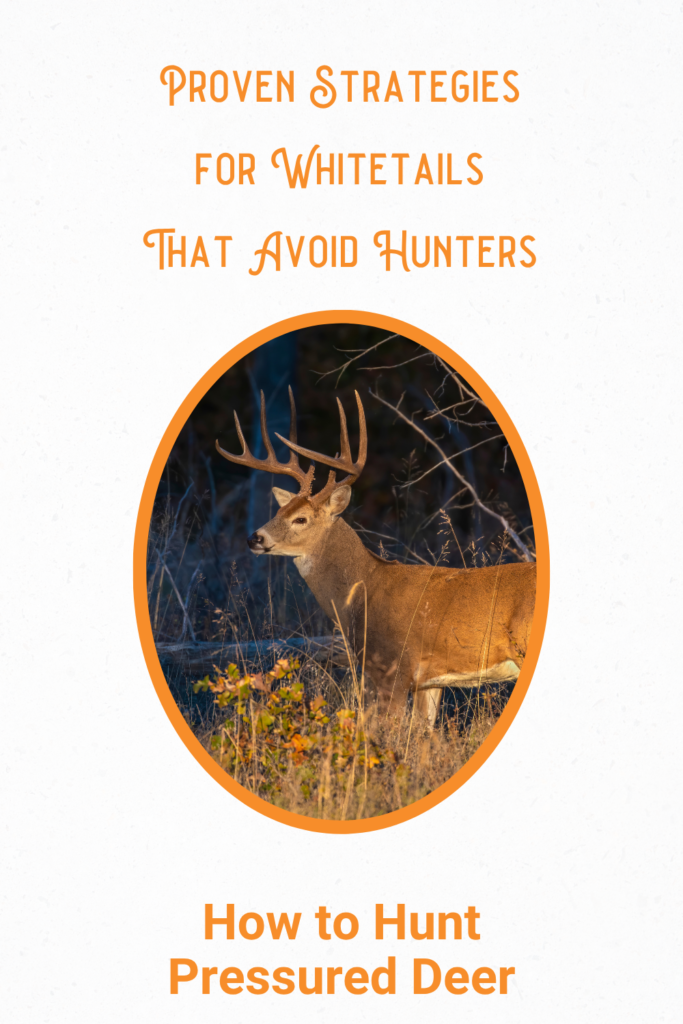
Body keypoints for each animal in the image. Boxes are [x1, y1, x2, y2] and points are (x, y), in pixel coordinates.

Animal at [216, 388, 536, 727]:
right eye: (279, 511)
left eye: (301, 519)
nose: (254, 538)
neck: (364, 590)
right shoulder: (429, 680)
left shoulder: (392, 667)